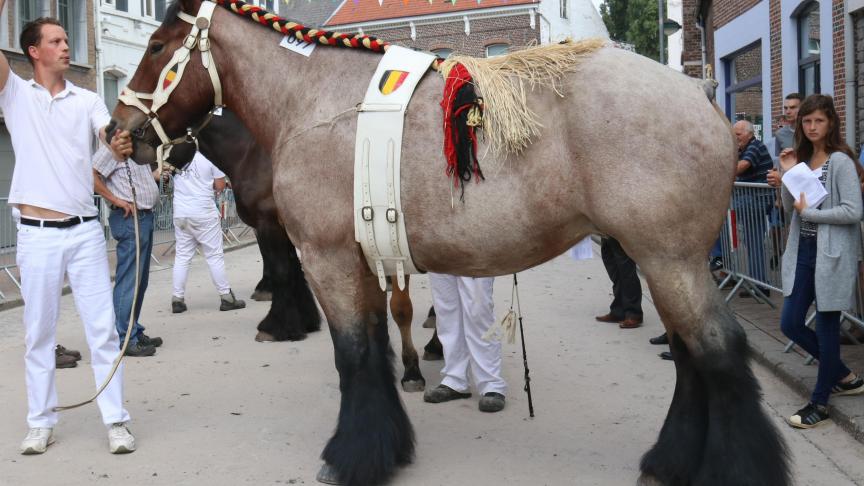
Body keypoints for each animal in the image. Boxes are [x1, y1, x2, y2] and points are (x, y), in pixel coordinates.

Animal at [111, 1, 792, 484]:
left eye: (156, 46)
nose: (121, 132)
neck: (313, 103)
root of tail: (698, 95)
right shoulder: (362, 261)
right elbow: (376, 348)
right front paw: (387, 445)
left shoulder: (328, 259)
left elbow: (352, 355)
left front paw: (350, 456)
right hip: (664, 261)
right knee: (689, 355)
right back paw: (671, 460)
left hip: (669, 260)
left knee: (716, 351)